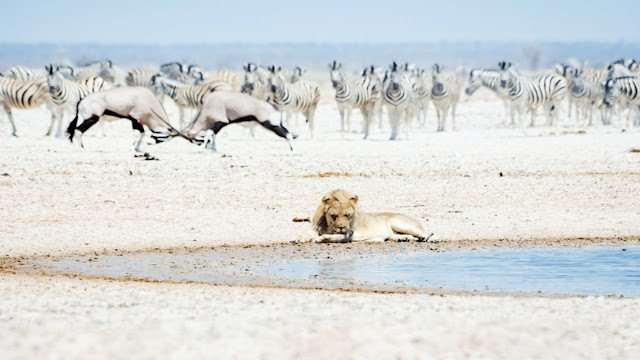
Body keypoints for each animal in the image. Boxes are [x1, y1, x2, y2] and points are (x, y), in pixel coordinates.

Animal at [294, 188, 436, 245]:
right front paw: (298, 239)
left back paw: (432, 239)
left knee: (426, 233)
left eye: (347, 215)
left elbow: (335, 237)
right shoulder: (316, 228)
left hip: (398, 222)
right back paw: (403, 239)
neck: (329, 226)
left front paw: (322, 238)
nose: (341, 227)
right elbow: (307, 234)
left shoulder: (348, 233)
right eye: (333, 216)